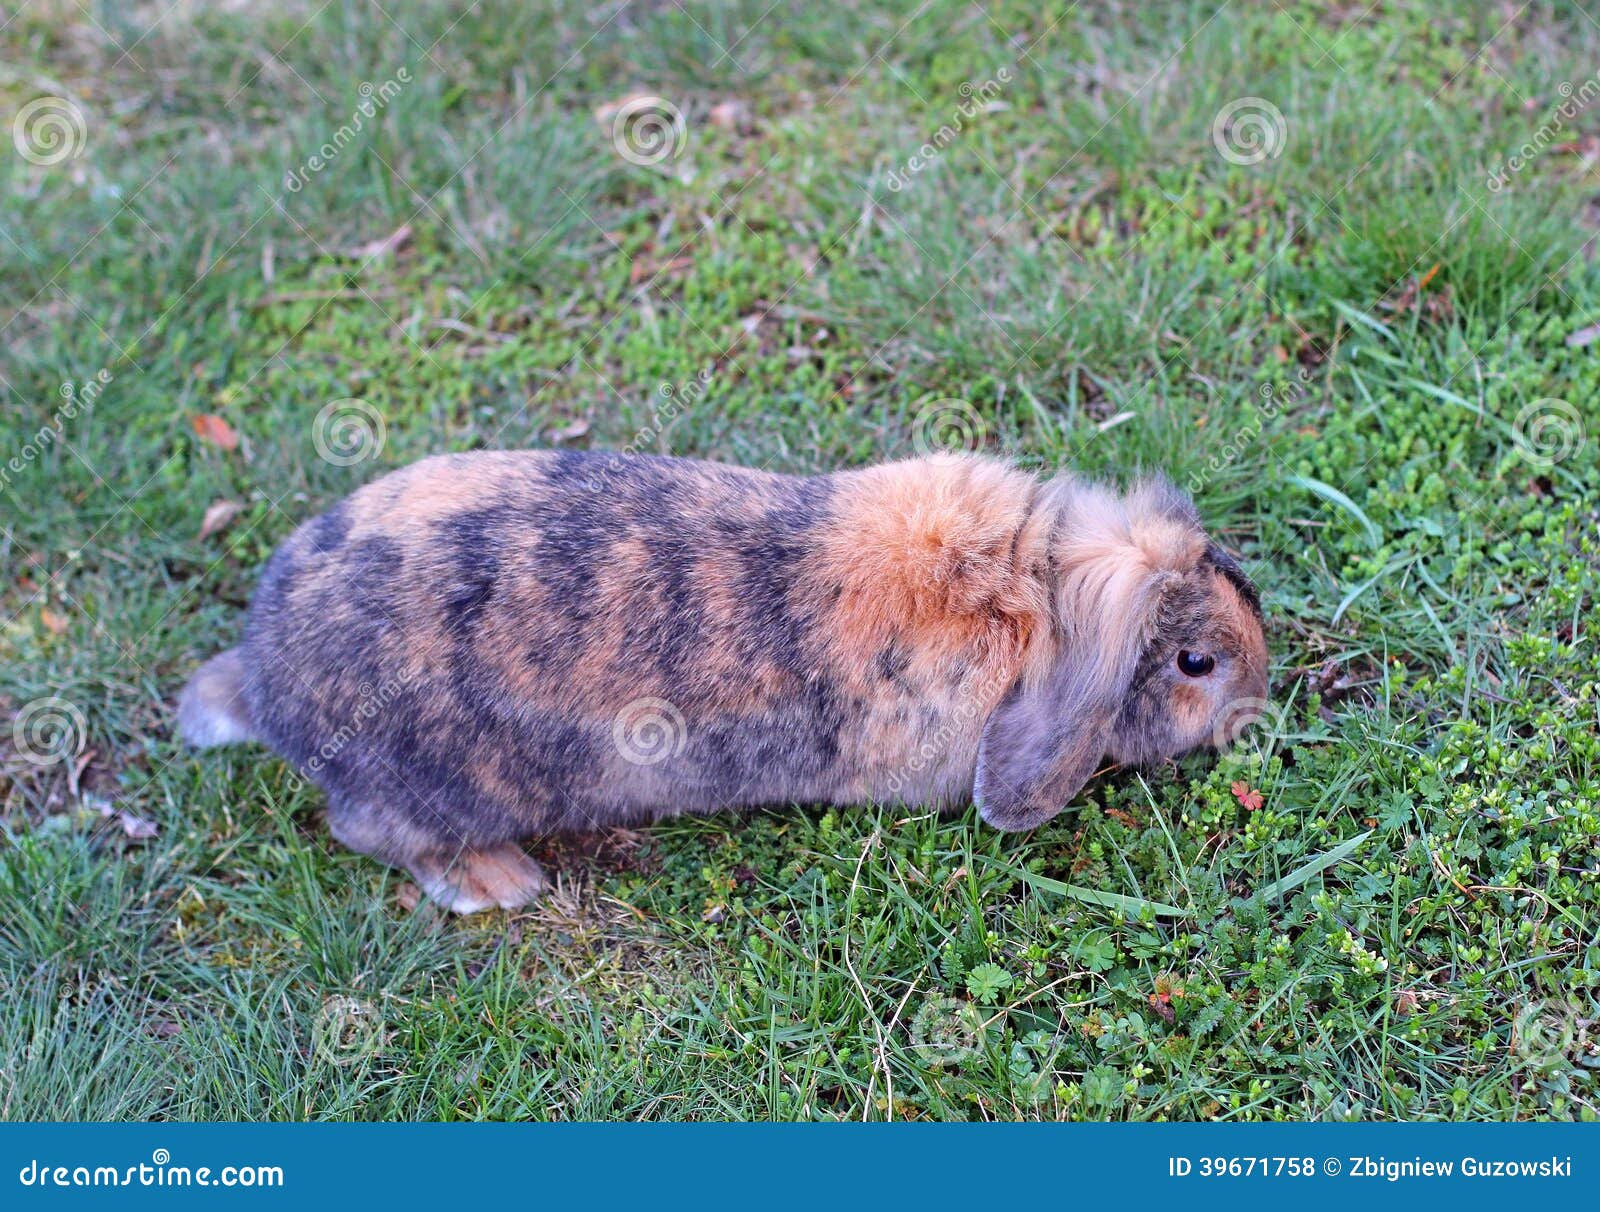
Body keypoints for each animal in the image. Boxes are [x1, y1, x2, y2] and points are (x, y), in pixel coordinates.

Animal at [178, 449, 1268, 913]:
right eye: (1195, 664)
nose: (1262, 692)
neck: (1030, 592)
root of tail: (266, 684)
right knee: (367, 832)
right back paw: (500, 884)